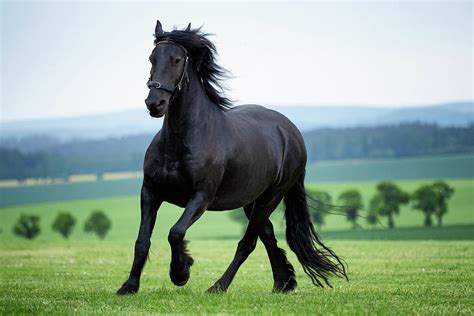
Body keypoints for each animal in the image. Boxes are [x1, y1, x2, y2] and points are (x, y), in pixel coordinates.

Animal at [116, 21, 346, 296]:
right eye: (151, 58)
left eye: (177, 59)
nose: (155, 103)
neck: (183, 140)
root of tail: (290, 131)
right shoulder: (150, 193)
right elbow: (142, 241)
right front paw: (129, 286)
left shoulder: (201, 197)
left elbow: (176, 232)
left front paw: (181, 272)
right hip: (251, 200)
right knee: (267, 234)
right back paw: (283, 283)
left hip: (271, 196)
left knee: (248, 243)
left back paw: (219, 286)